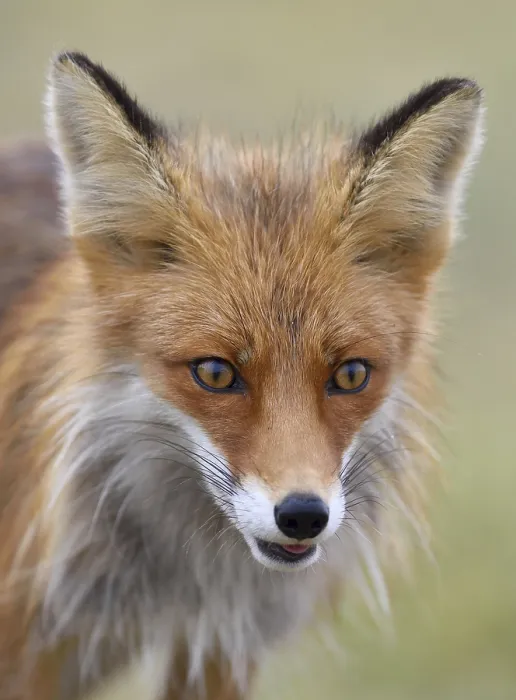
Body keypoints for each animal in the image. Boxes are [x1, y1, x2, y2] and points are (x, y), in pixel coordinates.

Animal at [0, 51, 484, 699]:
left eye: (351, 375)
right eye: (214, 372)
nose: (303, 514)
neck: (187, 584)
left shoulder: (222, 647)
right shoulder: (30, 651)